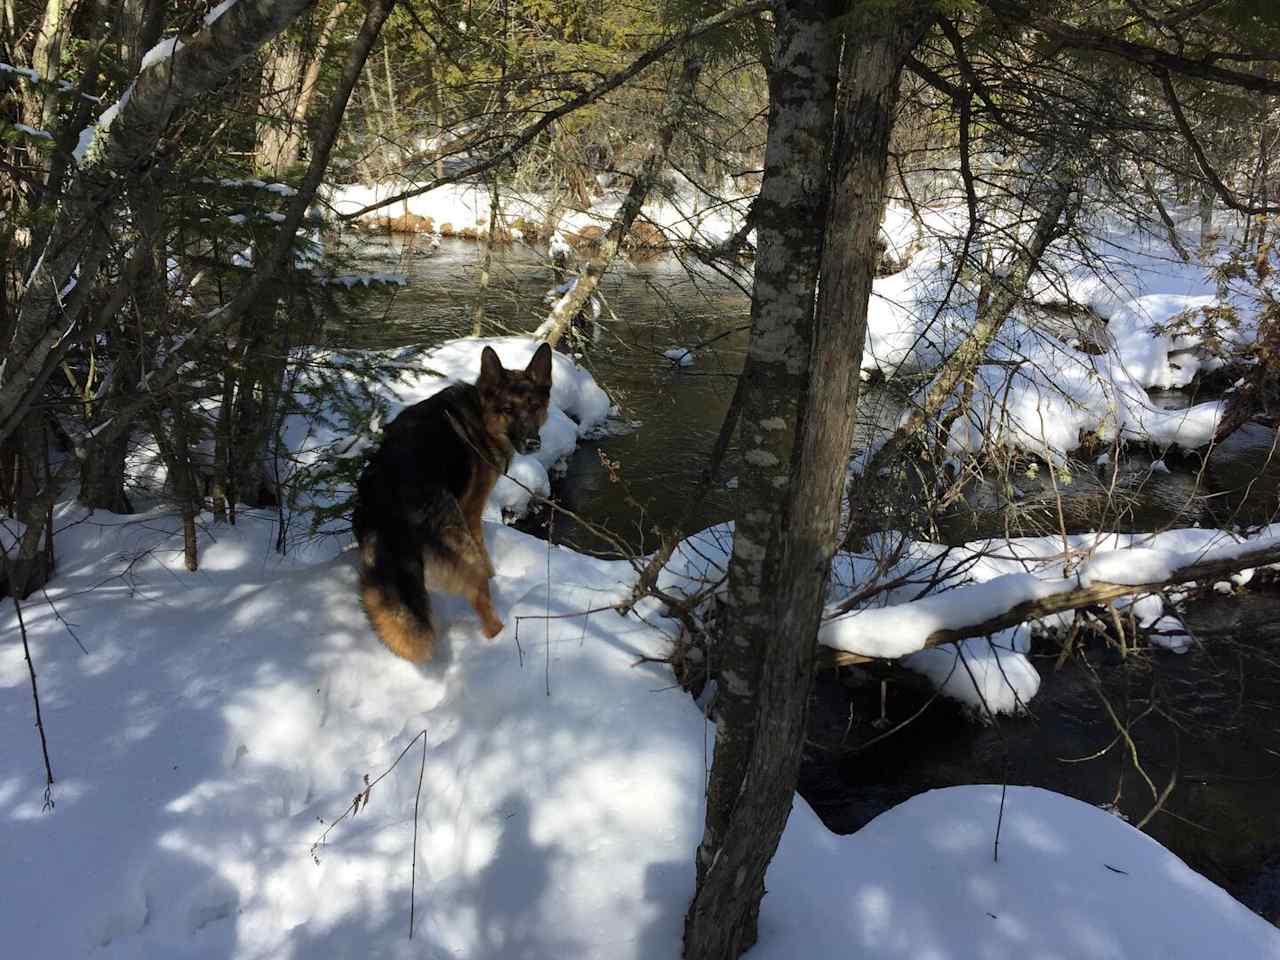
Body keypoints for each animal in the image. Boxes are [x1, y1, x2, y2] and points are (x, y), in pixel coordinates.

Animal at [353, 345, 552, 670]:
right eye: (507, 410)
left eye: (534, 407)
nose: (532, 443)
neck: (481, 415)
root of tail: (388, 501)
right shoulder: (471, 512)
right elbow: (485, 557)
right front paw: (495, 575)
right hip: (462, 552)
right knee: (484, 609)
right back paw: (501, 645)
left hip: (378, 581)